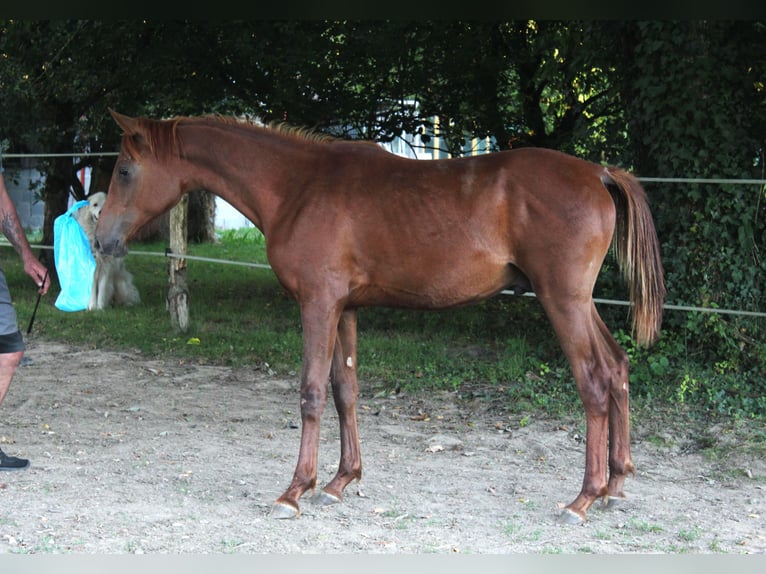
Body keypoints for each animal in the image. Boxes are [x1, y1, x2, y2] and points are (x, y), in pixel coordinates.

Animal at [95, 110, 665, 524]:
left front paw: (293, 491)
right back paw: (616, 485)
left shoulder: (318, 304)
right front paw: (339, 482)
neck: (298, 186)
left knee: (594, 381)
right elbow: (345, 390)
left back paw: (583, 498)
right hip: (579, 304)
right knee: (617, 368)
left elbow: (311, 392)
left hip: (562, 301)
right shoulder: (344, 308)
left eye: (124, 170)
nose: (101, 241)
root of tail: (598, 172)